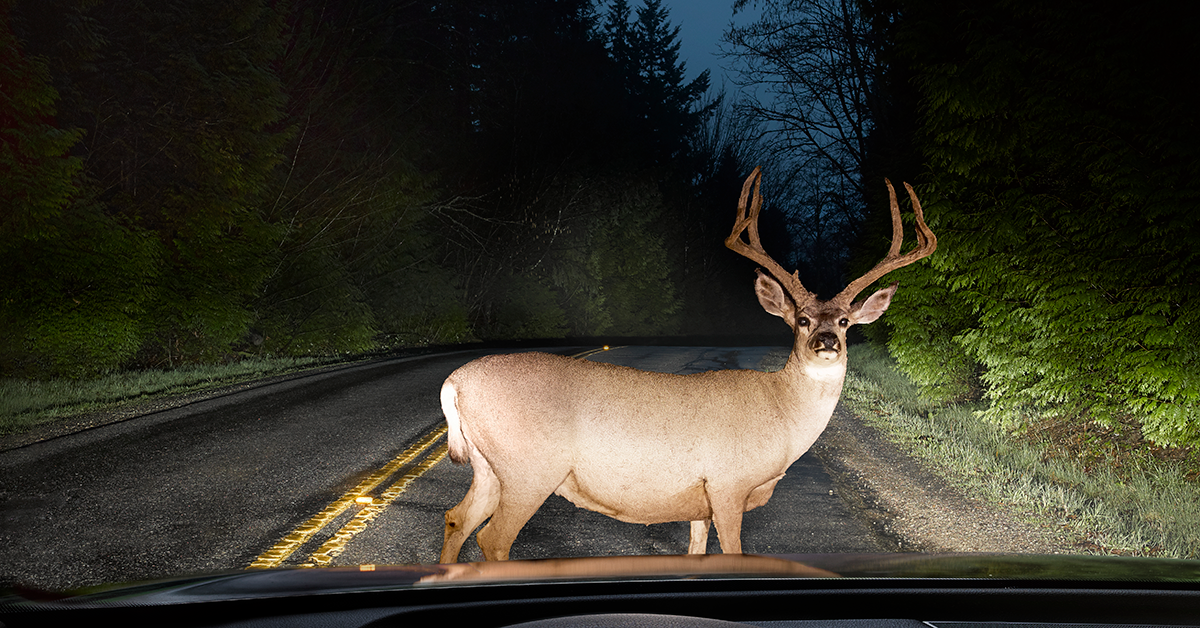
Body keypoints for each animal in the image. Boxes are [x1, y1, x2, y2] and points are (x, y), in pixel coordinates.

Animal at [438, 168, 936, 563]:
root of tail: (455, 382)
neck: (780, 415)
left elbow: (697, 551)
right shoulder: (728, 483)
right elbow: (734, 552)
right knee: (493, 539)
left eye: (846, 321)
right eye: (802, 320)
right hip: (530, 469)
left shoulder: (701, 500)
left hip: (490, 468)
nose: (827, 340)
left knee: (455, 519)